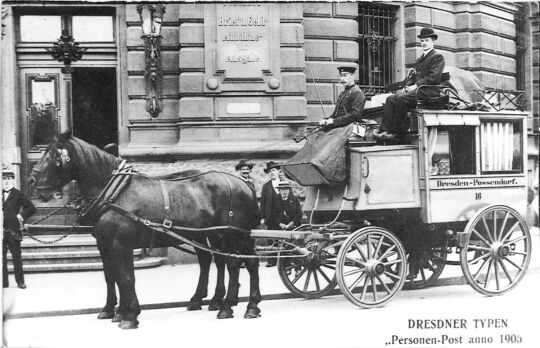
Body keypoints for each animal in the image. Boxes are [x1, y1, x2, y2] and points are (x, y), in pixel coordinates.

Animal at [29, 132, 262, 328]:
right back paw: (218, 302)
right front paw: (113, 310)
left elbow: (126, 277)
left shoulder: (120, 244)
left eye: (54, 156)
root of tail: (244, 184)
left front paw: (129, 315)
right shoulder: (104, 244)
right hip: (212, 234)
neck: (115, 193)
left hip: (234, 234)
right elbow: (111, 276)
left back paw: (243, 306)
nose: (31, 180)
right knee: (222, 261)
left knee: (243, 262)